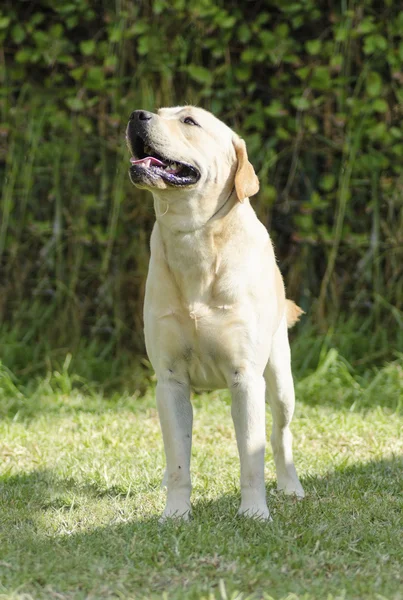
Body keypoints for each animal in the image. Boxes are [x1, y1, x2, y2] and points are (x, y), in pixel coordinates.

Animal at [126, 105, 304, 516]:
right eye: (159, 112)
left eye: (190, 121)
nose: (137, 114)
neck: (192, 237)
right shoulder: (170, 379)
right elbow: (179, 458)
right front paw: (176, 513)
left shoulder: (246, 377)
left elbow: (252, 456)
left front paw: (254, 512)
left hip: (280, 377)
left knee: (281, 433)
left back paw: (291, 486)